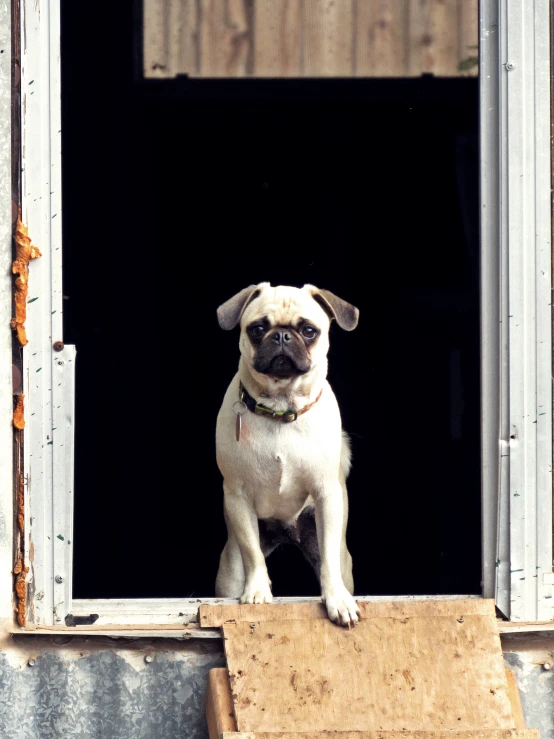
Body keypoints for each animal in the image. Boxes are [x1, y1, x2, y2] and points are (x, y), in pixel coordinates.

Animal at [213, 280, 360, 628]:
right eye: (258, 329)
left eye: (308, 330)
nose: (281, 336)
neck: (280, 406)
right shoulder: (237, 496)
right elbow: (253, 554)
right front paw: (257, 591)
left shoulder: (326, 495)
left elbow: (329, 562)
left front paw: (337, 600)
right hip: (230, 571)